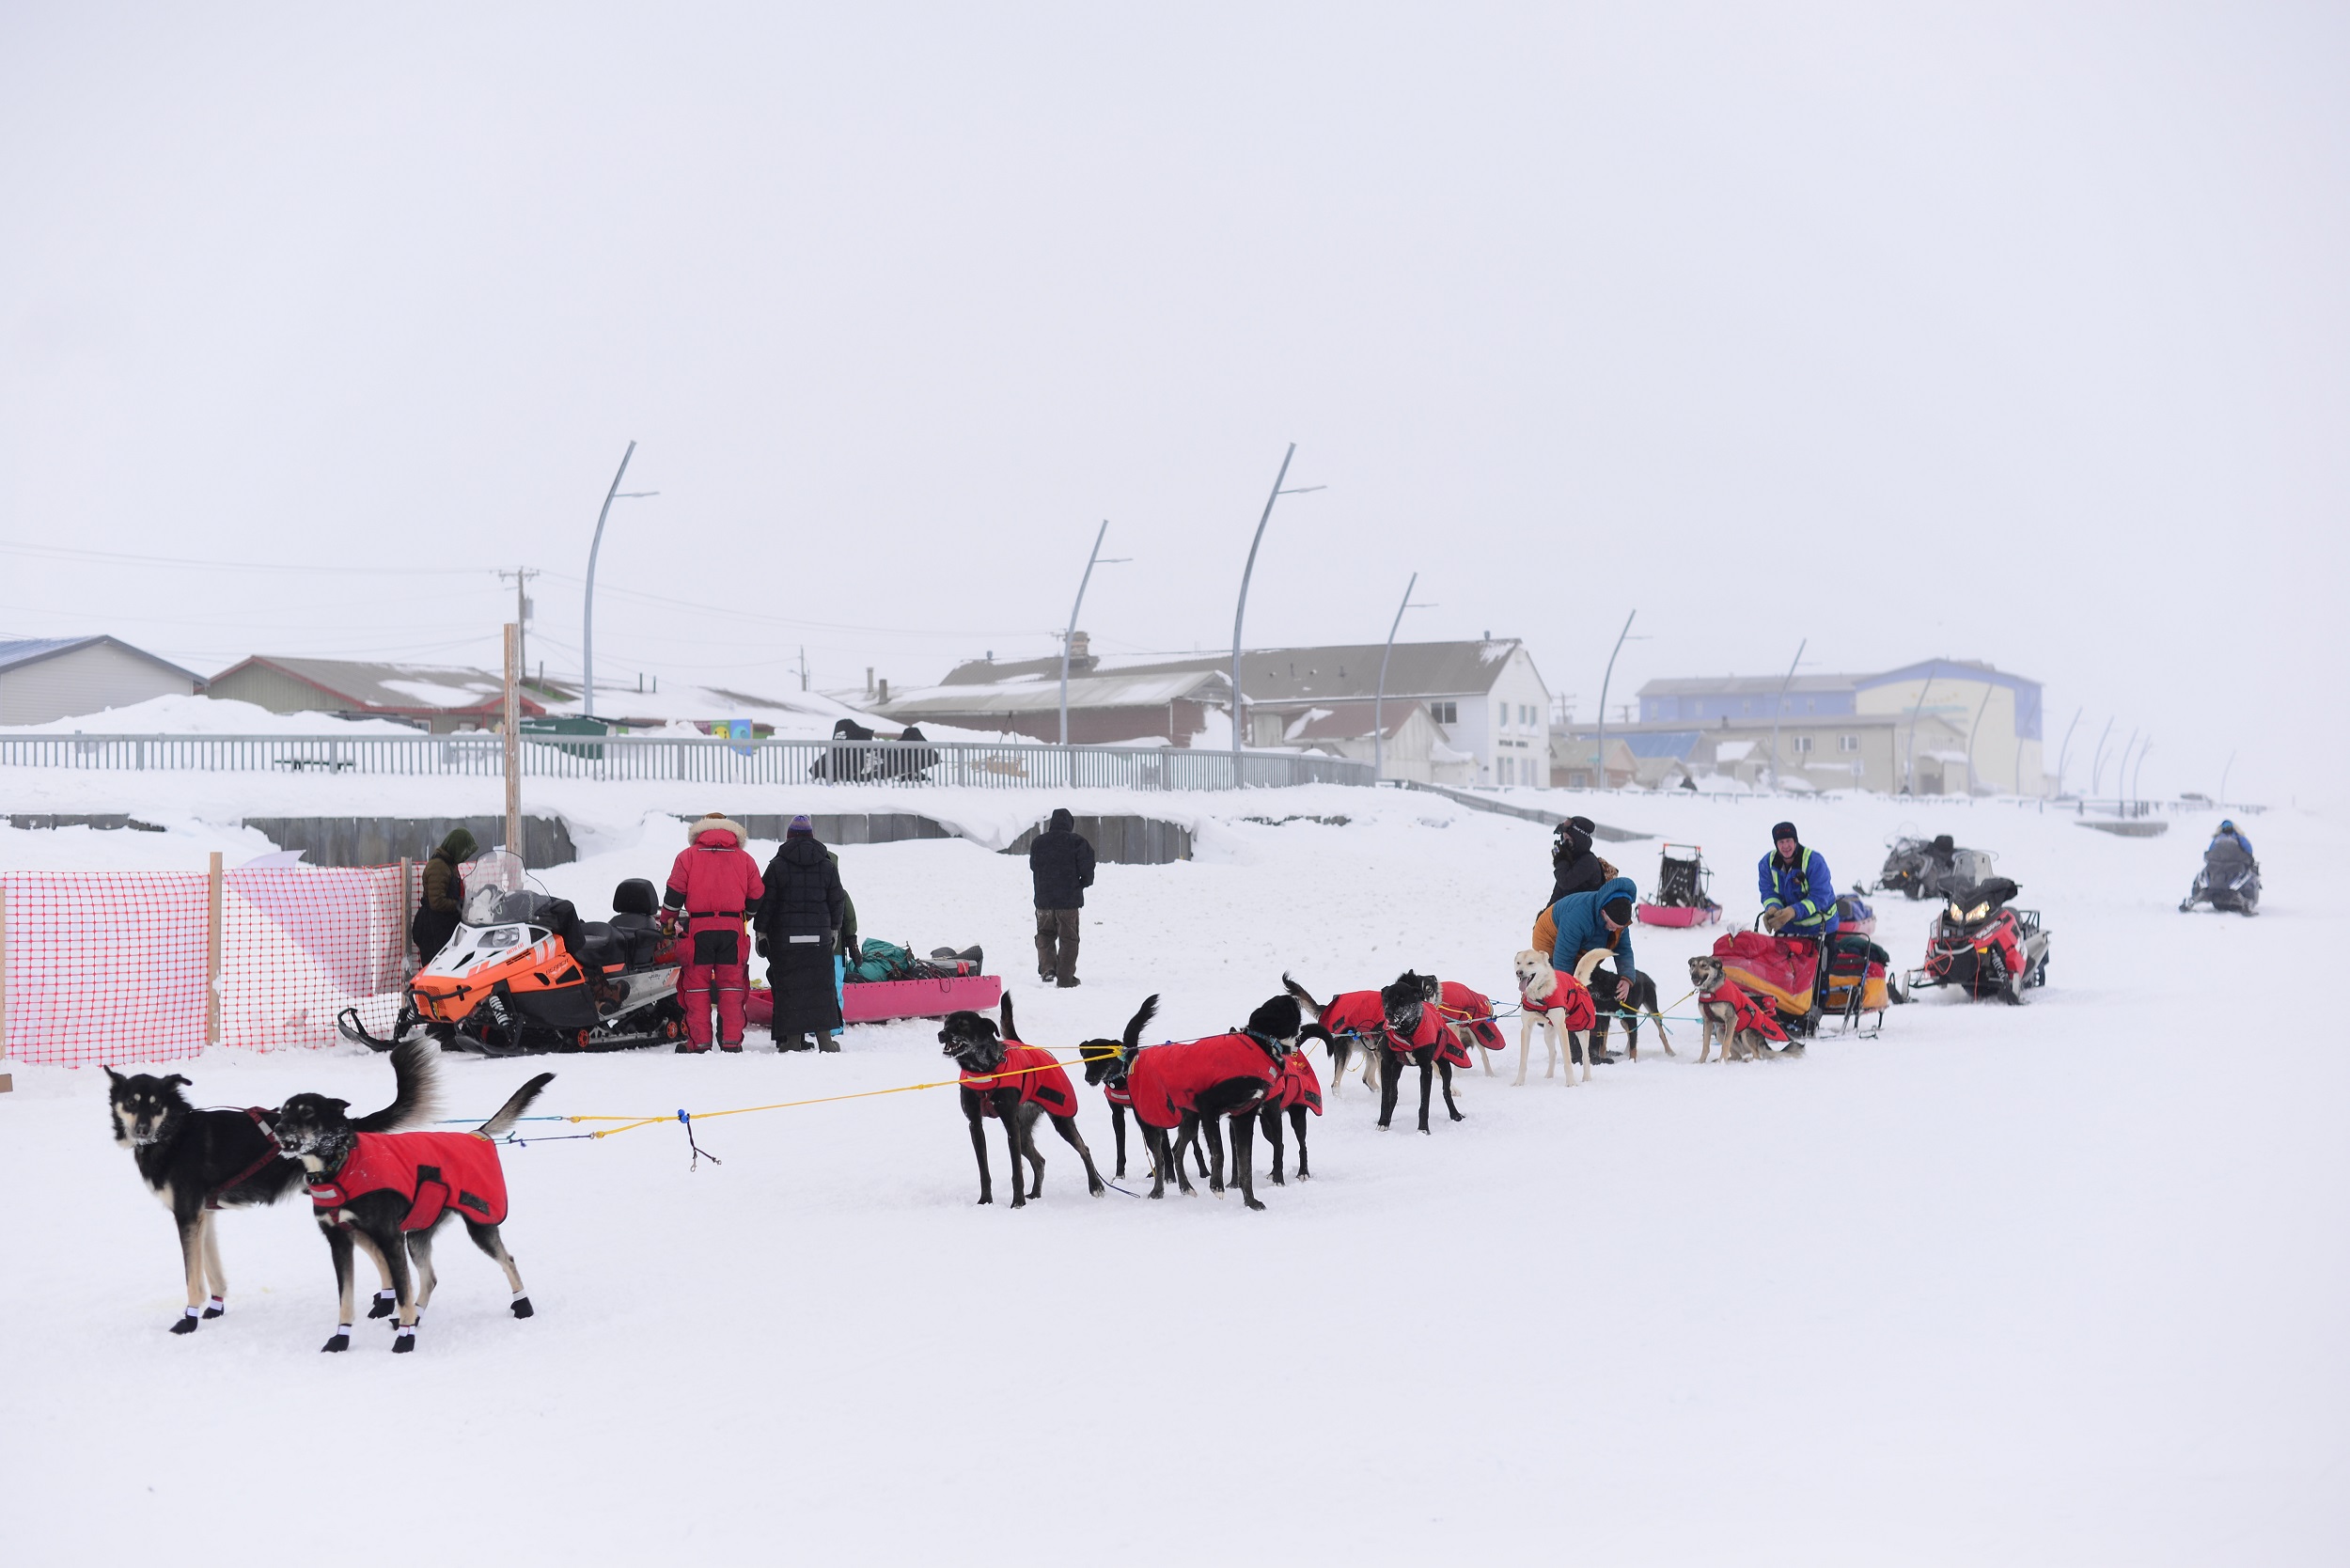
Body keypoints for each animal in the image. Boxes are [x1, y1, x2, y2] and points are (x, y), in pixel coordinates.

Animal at [108, 1043, 437, 1335]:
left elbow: (192, 1278)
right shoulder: (203, 1215)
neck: (175, 1133)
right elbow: (212, 1269)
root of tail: (346, 1125)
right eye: (132, 1103)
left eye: (156, 1104)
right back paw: (385, 1304)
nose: (142, 1130)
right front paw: (215, 1306)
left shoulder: (187, 1215)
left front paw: (189, 1319)